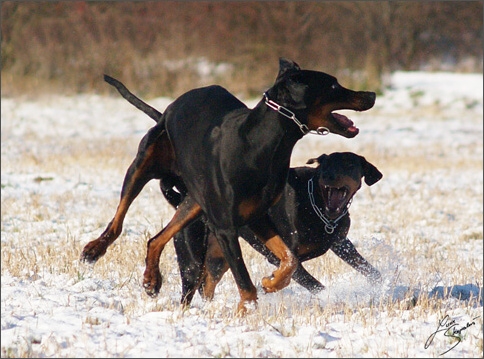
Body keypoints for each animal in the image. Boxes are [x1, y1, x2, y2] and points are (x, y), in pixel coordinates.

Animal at [172, 152, 384, 306]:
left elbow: (370, 270)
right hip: (192, 257)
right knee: (189, 288)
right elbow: (310, 282)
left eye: (350, 165)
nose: (328, 176)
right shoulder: (278, 256)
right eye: (325, 165)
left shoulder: (340, 243)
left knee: (208, 282)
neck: (317, 207)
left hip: (218, 256)